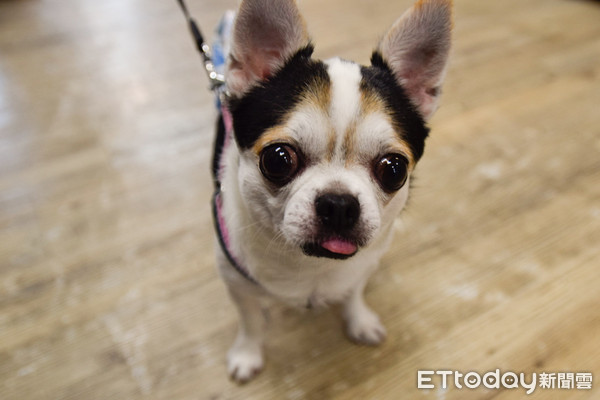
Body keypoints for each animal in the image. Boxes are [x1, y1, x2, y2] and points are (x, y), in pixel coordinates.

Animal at [211, 0, 450, 382]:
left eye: (394, 169)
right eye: (277, 159)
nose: (339, 204)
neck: (311, 264)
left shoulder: (362, 266)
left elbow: (353, 293)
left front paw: (359, 321)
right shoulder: (235, 281)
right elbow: (250, 321)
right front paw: (247, 353)